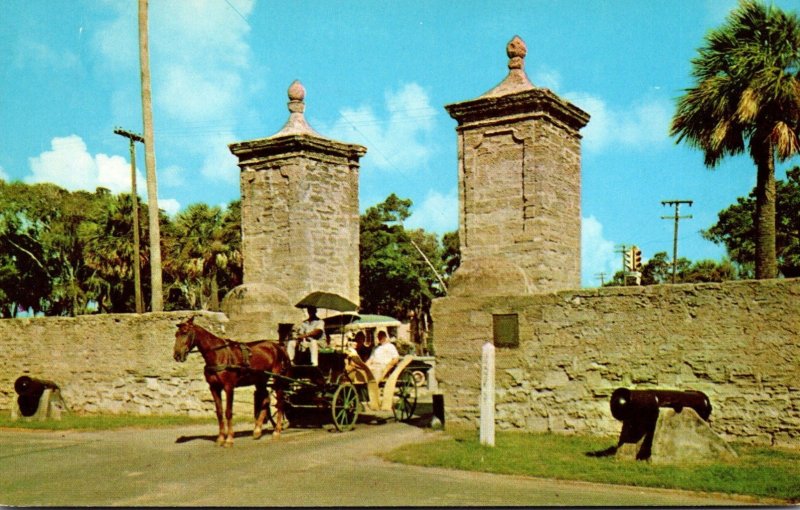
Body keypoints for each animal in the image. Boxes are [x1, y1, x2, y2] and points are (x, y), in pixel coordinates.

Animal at [173, 314, 292, 446]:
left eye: (185, 332)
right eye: (176, 334)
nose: (177, 355)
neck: (218, 355)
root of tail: (277, 346)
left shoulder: (229, 387)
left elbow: (228, 412)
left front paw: (229, 439)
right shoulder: (214, 388)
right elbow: (219, 412)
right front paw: (220, 438)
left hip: (277, 379)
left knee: (280, 402)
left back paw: (277, 431)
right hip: (260, 380)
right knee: (266, 400)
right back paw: (257, 430)